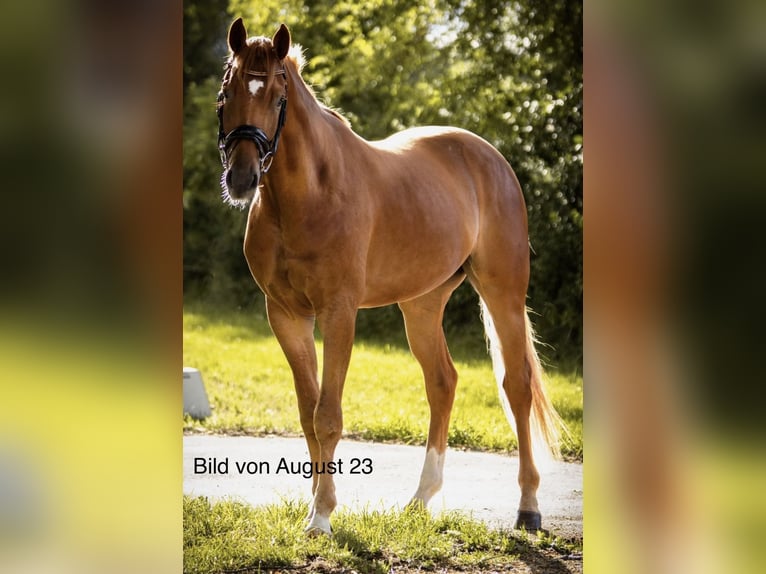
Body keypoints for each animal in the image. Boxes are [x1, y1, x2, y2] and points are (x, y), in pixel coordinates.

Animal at [216, 18, 564, 536]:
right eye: (226, 92)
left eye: (278, 98)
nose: (241, 178)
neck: (309, 194)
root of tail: (490, 158)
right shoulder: (286, 315)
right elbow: (307, 411)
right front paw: (314, 505)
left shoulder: (339, 313)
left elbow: (328, 414)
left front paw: (322, 517)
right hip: (422, 303)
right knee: (442, 381)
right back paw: (420, 499)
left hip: (502, 290)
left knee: (517, 385)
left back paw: (528, 507)